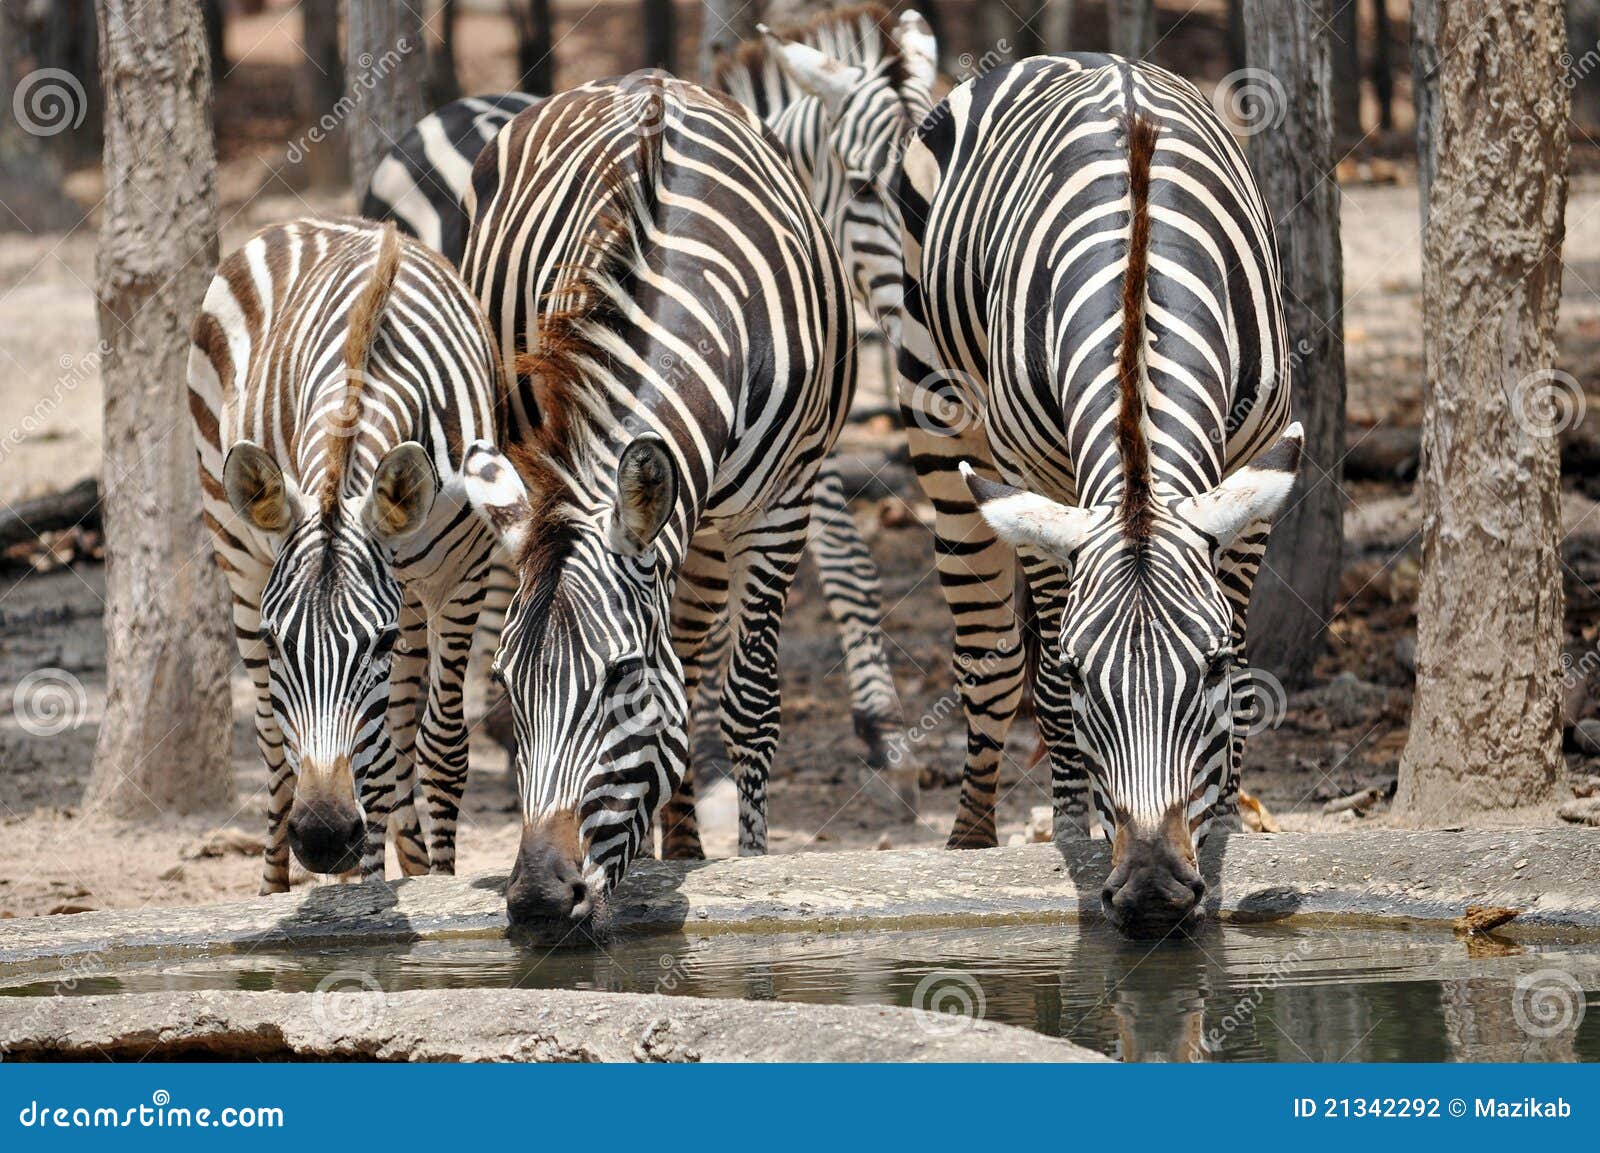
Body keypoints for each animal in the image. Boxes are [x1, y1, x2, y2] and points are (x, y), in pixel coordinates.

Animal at [188, 217, 500, 892]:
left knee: (399, 736)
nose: (324, 838)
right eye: (279, 642)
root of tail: (304, 223)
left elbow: (438, 748)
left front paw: (433, 879)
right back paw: (282, 887)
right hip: (237, 552)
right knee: (275, 749)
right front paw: (357, 891)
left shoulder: (461, 578)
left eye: (378, 642)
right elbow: (359, 761)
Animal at [458, 74, 855, 936]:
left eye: (622, 676)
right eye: (507, 680)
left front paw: (752, 862)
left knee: (700, 653)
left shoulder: (783, 503)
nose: (538, 903)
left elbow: (749, 701)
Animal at [896, 55, 1303, 937]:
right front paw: (1075, 837)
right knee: (989, 653)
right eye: (1087, 676)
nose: (1151, 894)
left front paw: (1224, 820)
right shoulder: (1038, 480)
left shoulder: (1254, 468)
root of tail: (1066, 57)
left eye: (1211, 668)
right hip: (935, 409)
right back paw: (974, 838)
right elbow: (1046, 679)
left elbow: (1244, 648)